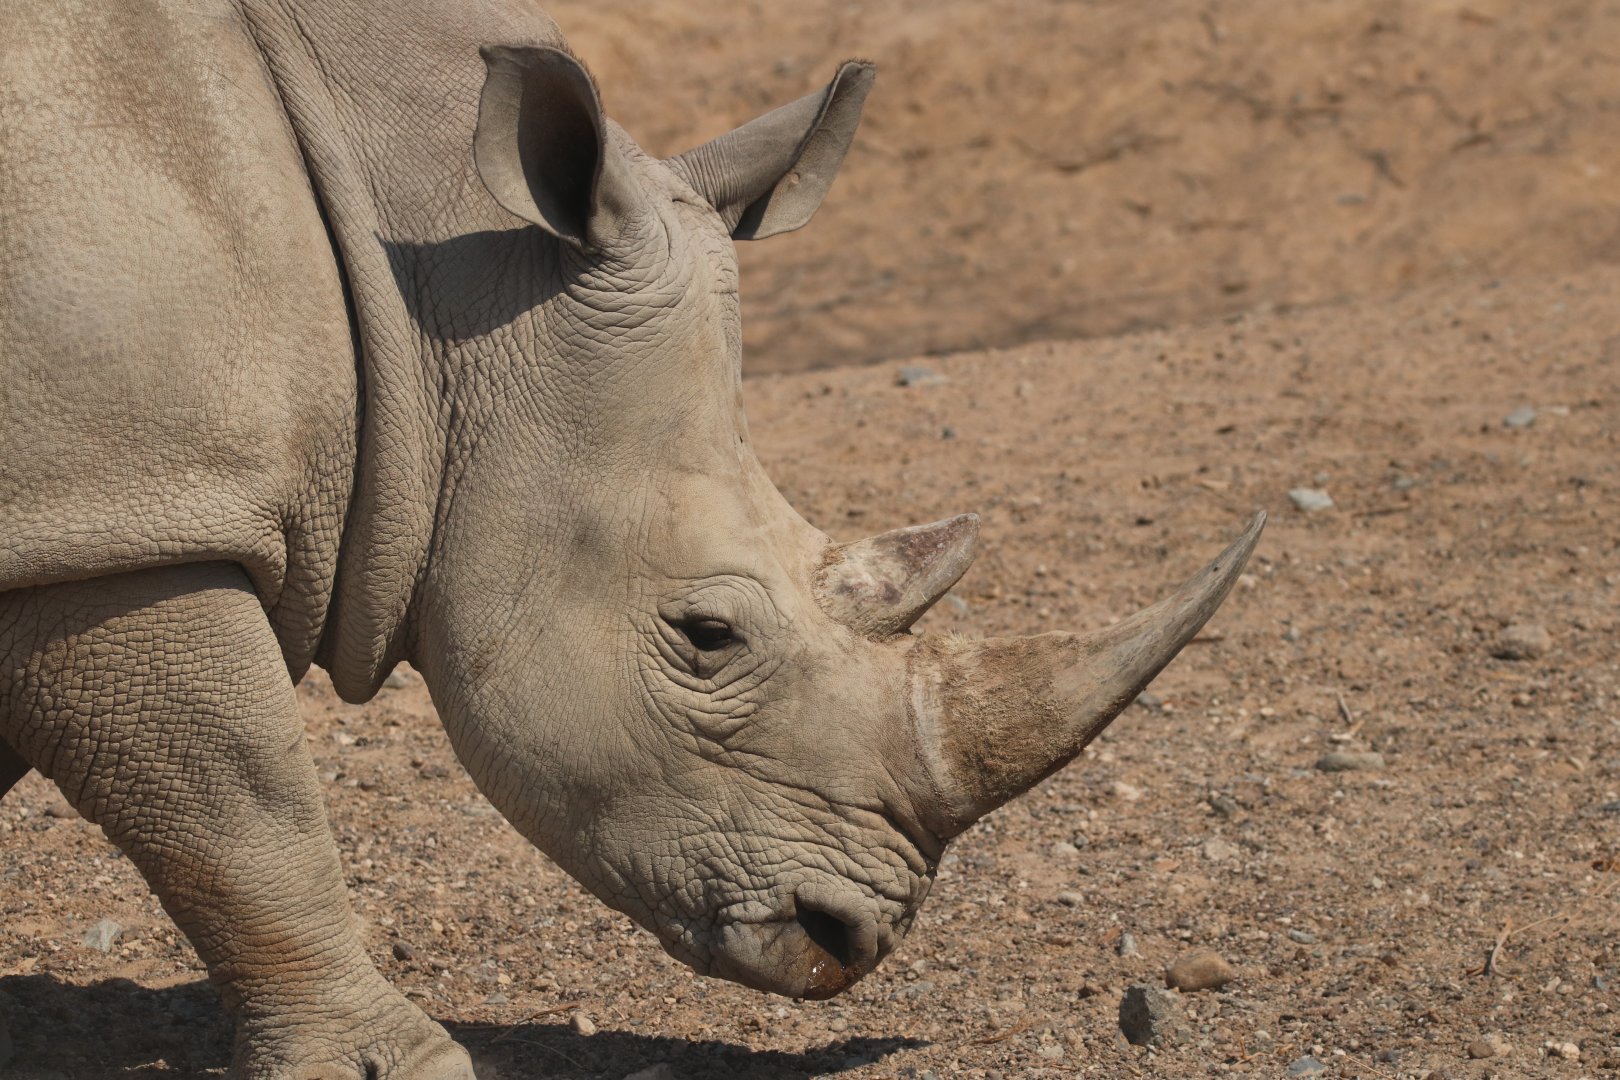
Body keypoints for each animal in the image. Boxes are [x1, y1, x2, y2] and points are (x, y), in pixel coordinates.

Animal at [0, 1, 1263, 1076]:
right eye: (708, 635)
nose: (849, 941)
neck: (423, 278)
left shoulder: (73, 510)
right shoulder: (131, 516)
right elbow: (242, 808)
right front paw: (398, 1066)